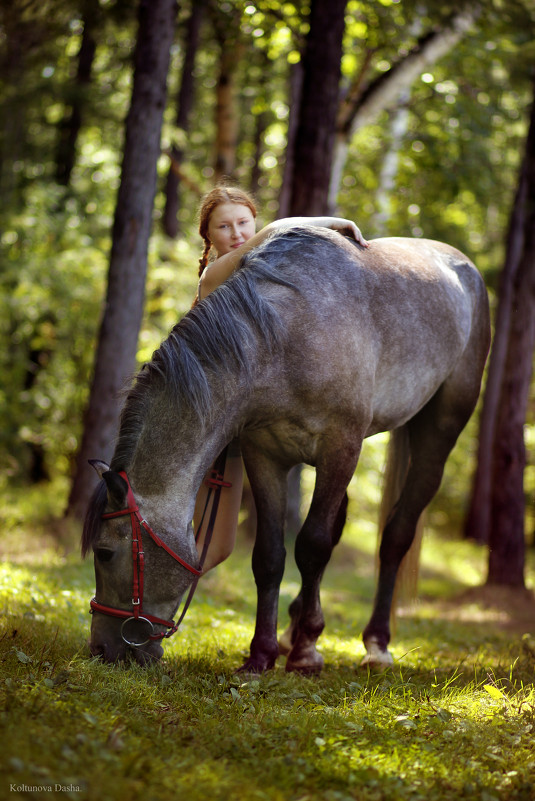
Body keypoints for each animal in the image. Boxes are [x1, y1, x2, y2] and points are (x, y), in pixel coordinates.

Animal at [82, 228, 490, 672]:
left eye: (105, 553)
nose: (101, 648)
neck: (282, 338)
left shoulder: (340, 450)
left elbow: (313, 545)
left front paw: (306, 651)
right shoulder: (266, 458)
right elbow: (269, 556)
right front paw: (262, 652)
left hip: (437, 437)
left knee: (395, 535)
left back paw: (375, 642)